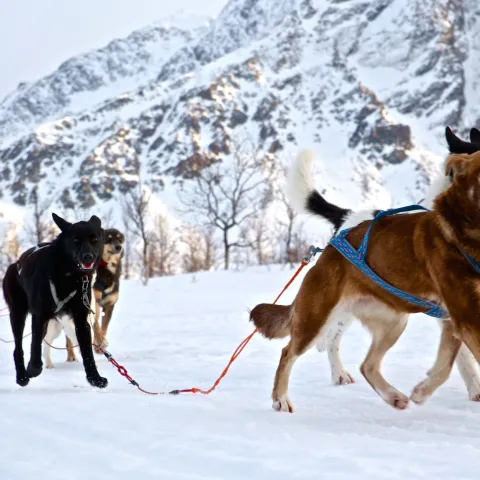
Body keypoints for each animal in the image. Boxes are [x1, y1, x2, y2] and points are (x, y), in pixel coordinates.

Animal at [2, 212, 108, 388]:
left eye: (94, 239)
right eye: (75, 240)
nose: (88, 257)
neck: (69, 275)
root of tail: (15, 264)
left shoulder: (81, 318)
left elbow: (87, 351)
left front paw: (94, 377)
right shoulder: (39, 316)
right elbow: (34, 345)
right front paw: (33, 369)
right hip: (18, 314)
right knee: (19, 346)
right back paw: (22, 376)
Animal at [253, 151, 480, 412]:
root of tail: (332, 245)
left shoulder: (455, 319)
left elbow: (446, 366)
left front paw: (423, 391)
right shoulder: (465, 317)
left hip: (393, 321)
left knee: (366, 364)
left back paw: (392, 395)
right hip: (316, 318)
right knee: (291, 351)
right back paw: (281, 398)